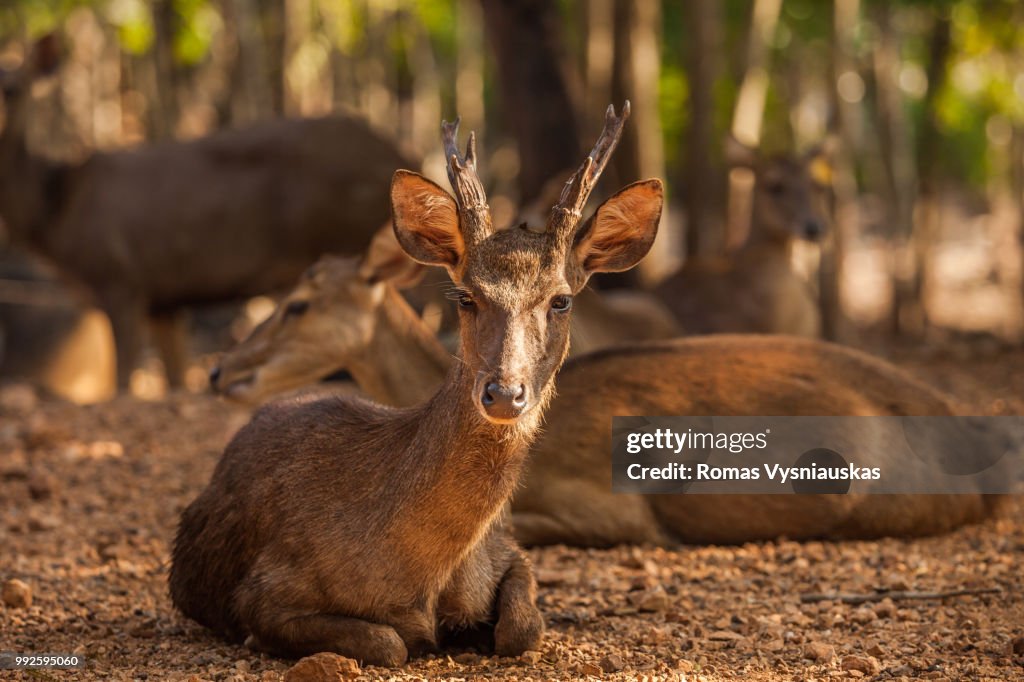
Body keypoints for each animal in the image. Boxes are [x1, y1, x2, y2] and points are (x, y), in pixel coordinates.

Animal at [0, 35, 415, 390]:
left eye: (13, 89)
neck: (55, 216)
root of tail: (399, 154)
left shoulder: (119, 279)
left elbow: (123, 383)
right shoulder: (161, 299)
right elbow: (174, 380)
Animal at [169, 103, 665, 664]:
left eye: (561, 299)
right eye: (466, 296)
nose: (504, 392)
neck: (422, 573)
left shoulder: (506, 549)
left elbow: (524, 627)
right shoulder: (266, 588)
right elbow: (388, 642)